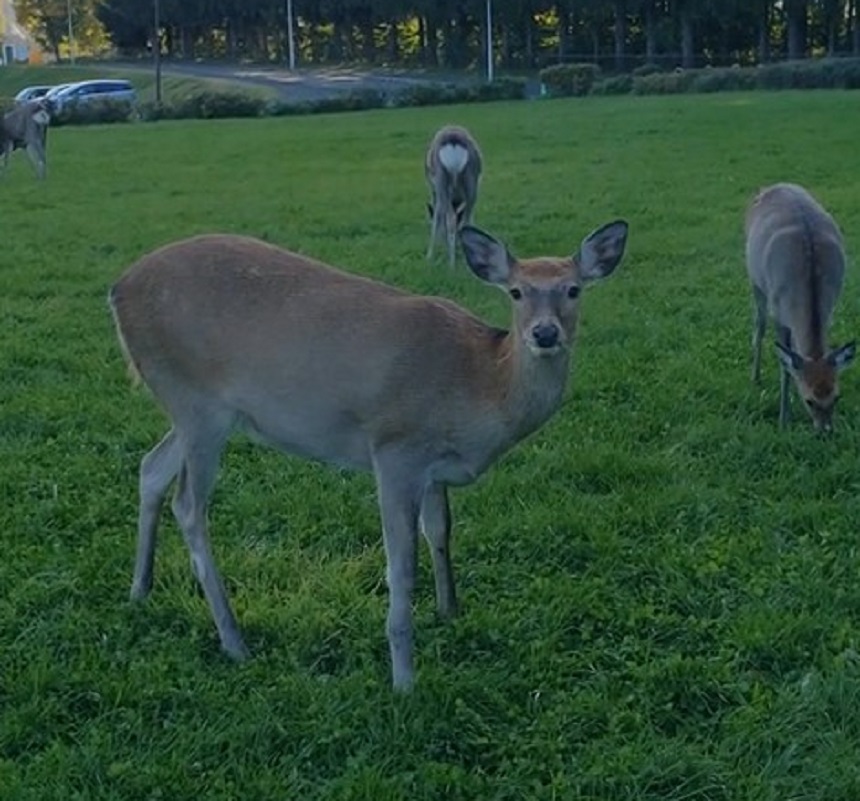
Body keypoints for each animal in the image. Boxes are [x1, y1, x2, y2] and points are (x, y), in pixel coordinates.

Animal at [111, 217, 628, 688]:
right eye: (517, 292)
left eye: (574, 289)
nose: (544, 334)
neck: (479, 386)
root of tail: (117, 291)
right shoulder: (396, 448)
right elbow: (401, 566)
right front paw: (404, 679)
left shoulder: (433, 466)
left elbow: (441, 532)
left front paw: (450, 611)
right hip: (196, 400)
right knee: (188, 505)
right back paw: (234, 640)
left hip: (196, 409)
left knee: (150, 468)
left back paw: (140, 589)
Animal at [744, 181, 856, 432]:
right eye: (809, 400)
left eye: (837, 397)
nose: (826, 432)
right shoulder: (779, 313)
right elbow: (785, 367)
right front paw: (783, 419)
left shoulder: (830, 310)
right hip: (755, 280)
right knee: (758, 326)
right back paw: (755, 377)